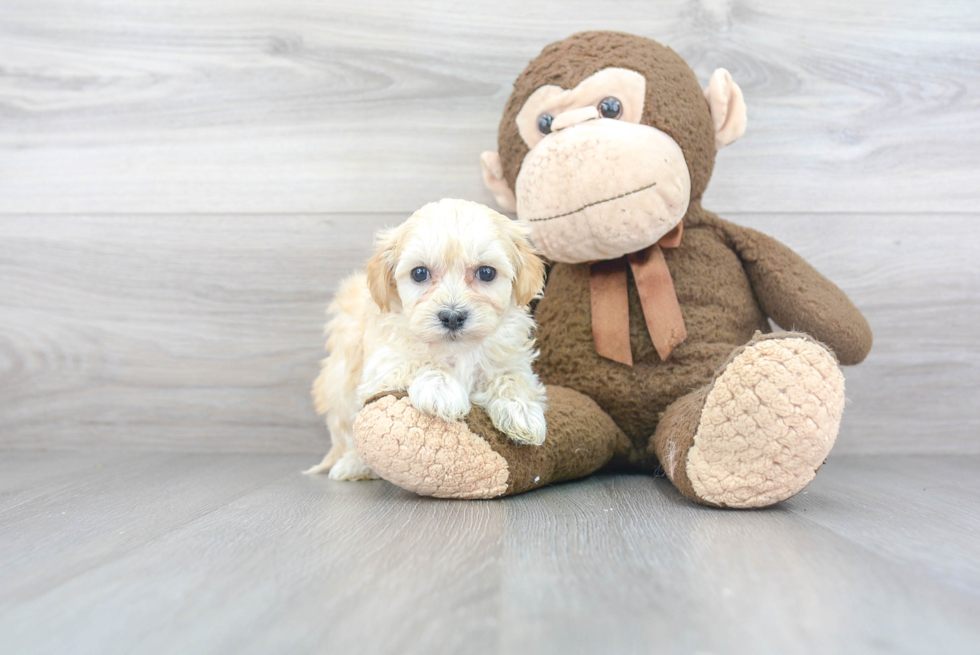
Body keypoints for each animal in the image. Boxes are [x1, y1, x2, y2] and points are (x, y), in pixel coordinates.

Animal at [306, 199, 548, 482]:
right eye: (420, 273)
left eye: (486, 273)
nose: (452, 316)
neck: (457, 350)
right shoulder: (383, 363)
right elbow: (420, 362)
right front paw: (441, 389)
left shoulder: (512, 358)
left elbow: (511, 377)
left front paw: (522, 412)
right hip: (340, 384)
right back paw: (353, 465)